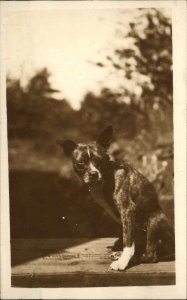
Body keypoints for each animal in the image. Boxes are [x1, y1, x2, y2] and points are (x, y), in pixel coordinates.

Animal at [57, 125, 175, 270]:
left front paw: (123, 262)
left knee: (150, 255)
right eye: (80, 163)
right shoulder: (123, 218)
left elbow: (128, 242)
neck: (107, 175)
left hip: (154, 219)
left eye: (99, 160)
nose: (93, 174)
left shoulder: (127, 209)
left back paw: (134, 258)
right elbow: (125, 236)